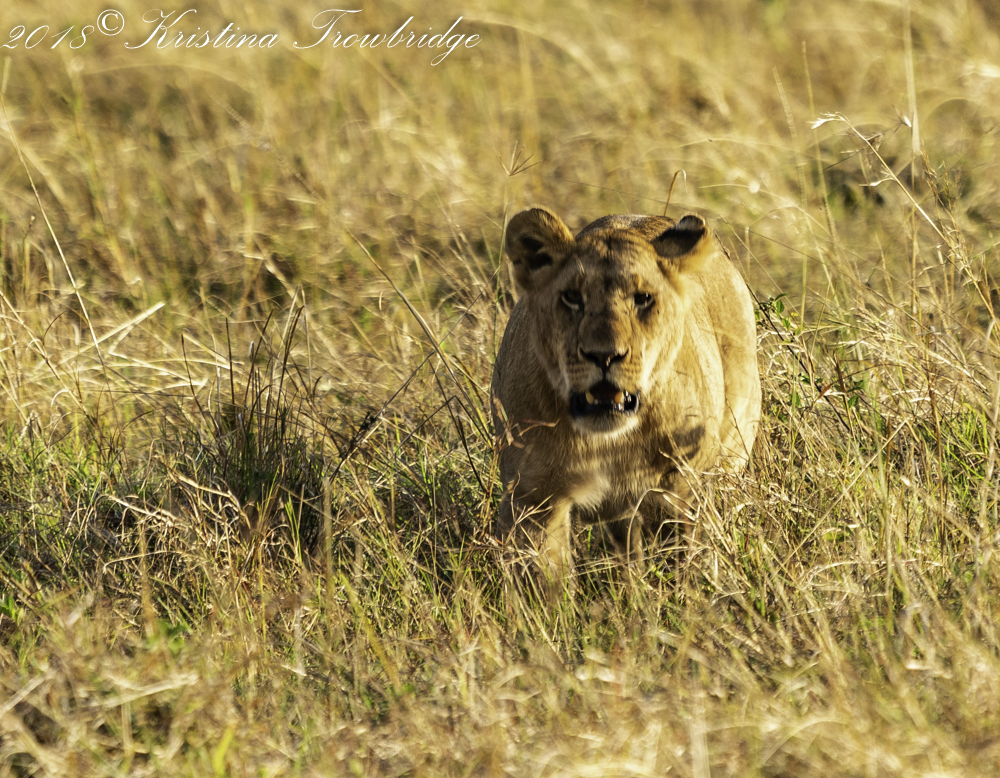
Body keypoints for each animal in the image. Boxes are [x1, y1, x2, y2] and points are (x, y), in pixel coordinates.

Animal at [491, 207, 760, 581]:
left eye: (643, 299)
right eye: (572, 297)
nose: (604, 355)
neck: (607, 443)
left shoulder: (676, 490)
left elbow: (679, 572)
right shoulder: (533, 501)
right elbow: (543, 584)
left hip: (730, 453)